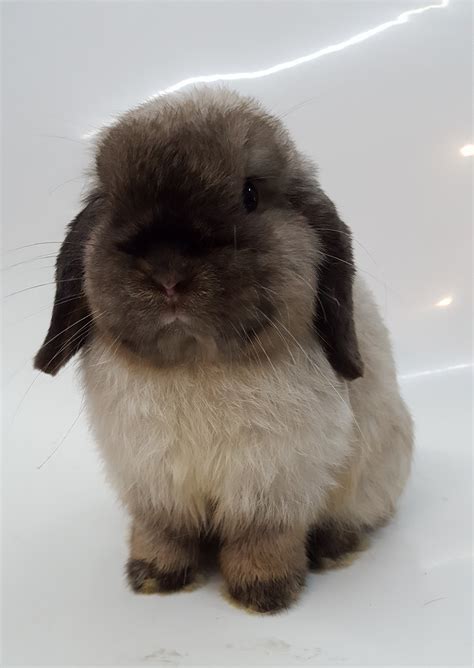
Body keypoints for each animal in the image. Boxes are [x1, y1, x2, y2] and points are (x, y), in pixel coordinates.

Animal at [34, 87, 413, 613]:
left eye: (249, 194)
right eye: (111, 202)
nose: (167, 272)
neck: (196, 365)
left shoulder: (272, 488)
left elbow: (262, 540)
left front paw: (264, 593)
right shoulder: (154, 486)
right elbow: (163, 534)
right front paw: (153, 577)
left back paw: (331, 549)